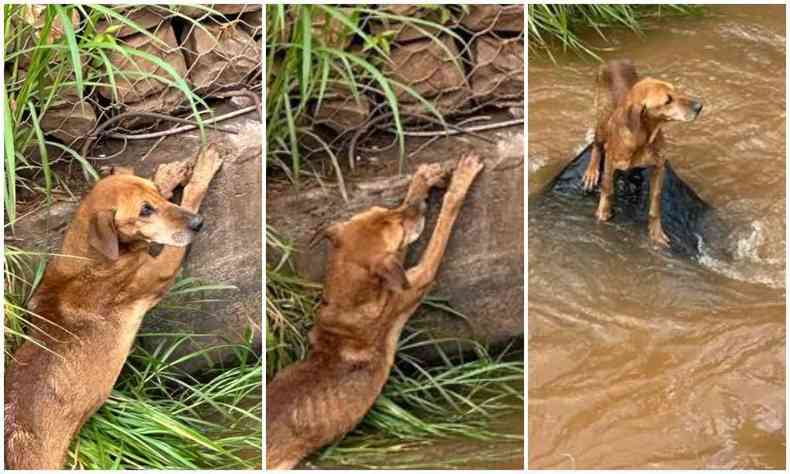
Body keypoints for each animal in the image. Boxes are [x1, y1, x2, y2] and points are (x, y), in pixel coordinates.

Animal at [5, 146, 223, 468]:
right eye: (144, 211)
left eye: (154, 196)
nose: (198, 223)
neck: (91, 256)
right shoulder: (159, 269)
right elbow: (190, 198)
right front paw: (202, 171)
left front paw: (169, 174)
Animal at [270, 154, 486, 468]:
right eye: (401, 228)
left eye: (388, 210)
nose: (419, 209)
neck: (347, 299)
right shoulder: (411, 284)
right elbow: (443, 226)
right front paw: (460, 180)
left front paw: (423, 179)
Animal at [580, 60, 704, 248]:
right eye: (668, 100)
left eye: (675, 91)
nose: (699, 106)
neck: (644, 138)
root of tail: (614, 61)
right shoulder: (610, 160)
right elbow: (608, 189)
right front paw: (603, 212)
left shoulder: (659, 167)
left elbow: (655, 205)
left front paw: (656, 233)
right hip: (601, 117)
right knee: (596, 145)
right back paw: (591, 172)